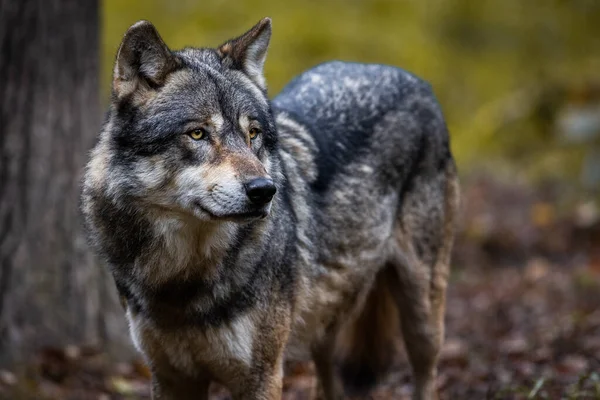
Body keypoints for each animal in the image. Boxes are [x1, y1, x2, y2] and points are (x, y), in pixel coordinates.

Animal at [81, 16, 460, 400]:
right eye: (198, 134)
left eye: (253, 134)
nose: (264, 190)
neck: (183, 279)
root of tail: (408, 76)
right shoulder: (172, 376)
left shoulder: (262, 375)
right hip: (327, 328)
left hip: (422, 316)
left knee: (426, 374)